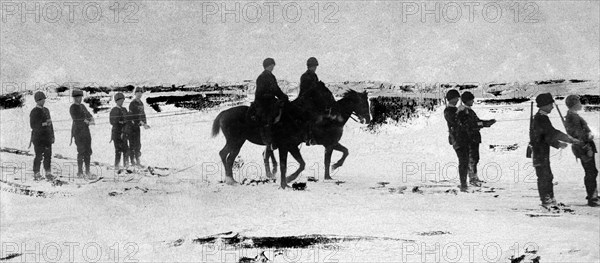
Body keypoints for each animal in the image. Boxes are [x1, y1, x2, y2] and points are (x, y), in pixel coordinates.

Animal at [211, 89, 370, 189]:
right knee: (228, 156)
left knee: (228, 155)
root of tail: (224, 113)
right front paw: (331, 172)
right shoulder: (329, 144)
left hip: (239, 141)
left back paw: (234, 179)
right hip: (236, 141)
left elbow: (344, 152)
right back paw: (231, 179)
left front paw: (331, 172)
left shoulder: (328, 144)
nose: (368, 119)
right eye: (363, 103)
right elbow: (329, 159)